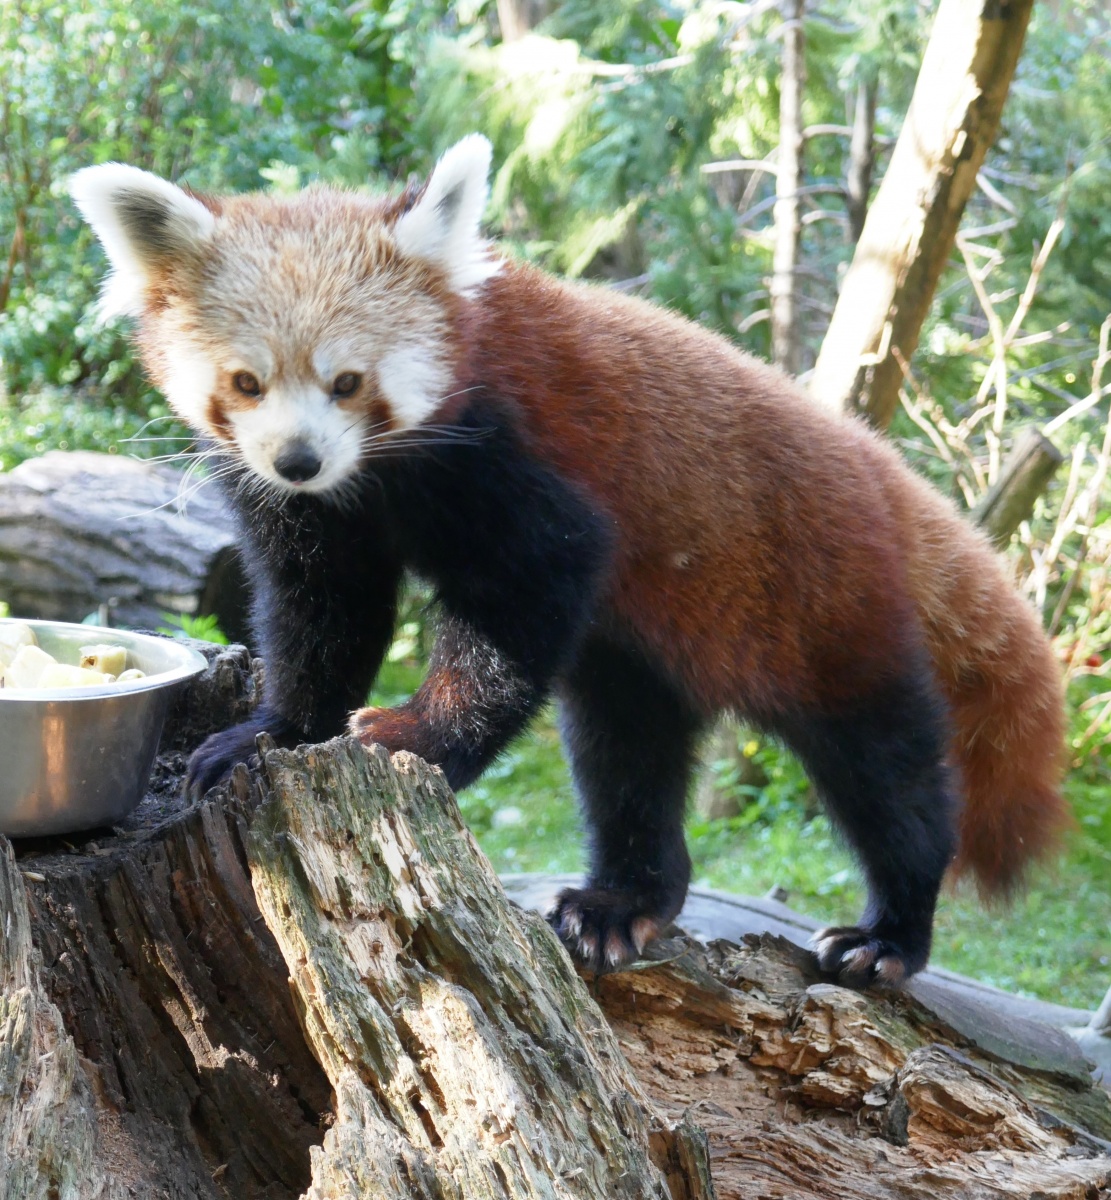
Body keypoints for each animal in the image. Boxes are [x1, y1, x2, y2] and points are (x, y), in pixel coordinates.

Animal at [69, 138, 1070, 984]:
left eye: (348, 382)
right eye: (247, 382)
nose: (299, 459)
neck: (377, 477)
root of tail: (880, 469)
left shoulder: (513, 459)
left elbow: (519, 605)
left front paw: (413, 735)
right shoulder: (316, 516)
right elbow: (324, 613)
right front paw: (273, 733)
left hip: (823, 603)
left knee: (885, 770)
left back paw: (890, 933)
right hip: (653, 648)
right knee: (628, 756)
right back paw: (623, 903)